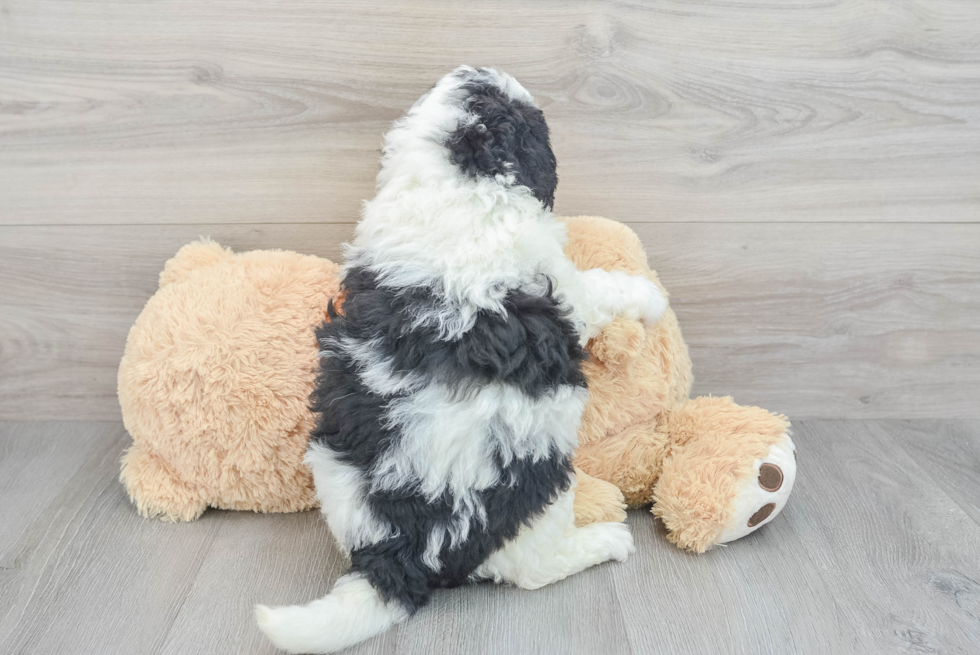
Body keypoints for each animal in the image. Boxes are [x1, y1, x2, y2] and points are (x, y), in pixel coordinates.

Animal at [255, 68, 668, 655]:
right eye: (523, 117)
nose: (489, 70)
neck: (457, 178)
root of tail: (396, 554)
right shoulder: (562, 286)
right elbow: (600, 288)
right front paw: (649, 296)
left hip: (335, 472)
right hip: (538, 491)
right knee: (533, 569)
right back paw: (604, 539)